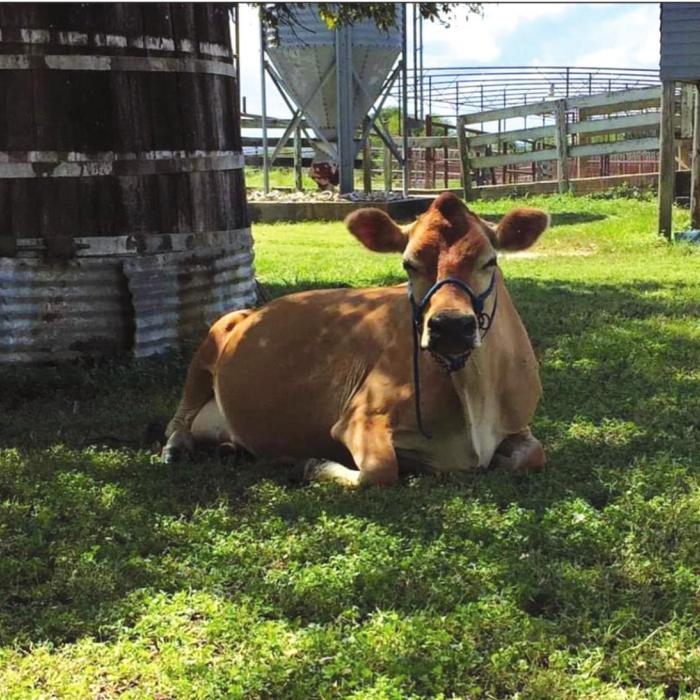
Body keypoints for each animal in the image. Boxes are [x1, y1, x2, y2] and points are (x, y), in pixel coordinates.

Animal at [161, 192, 548, 487]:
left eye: (489, 261)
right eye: (409, 264)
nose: (450, 326)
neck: (472, 393)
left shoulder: (518, 423)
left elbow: (535, 454)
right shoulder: (359, 415)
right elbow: (380, 469)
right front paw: (312, 464)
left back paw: (230, 448)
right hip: (217, 332)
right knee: (177, 421)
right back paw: (175, 448)